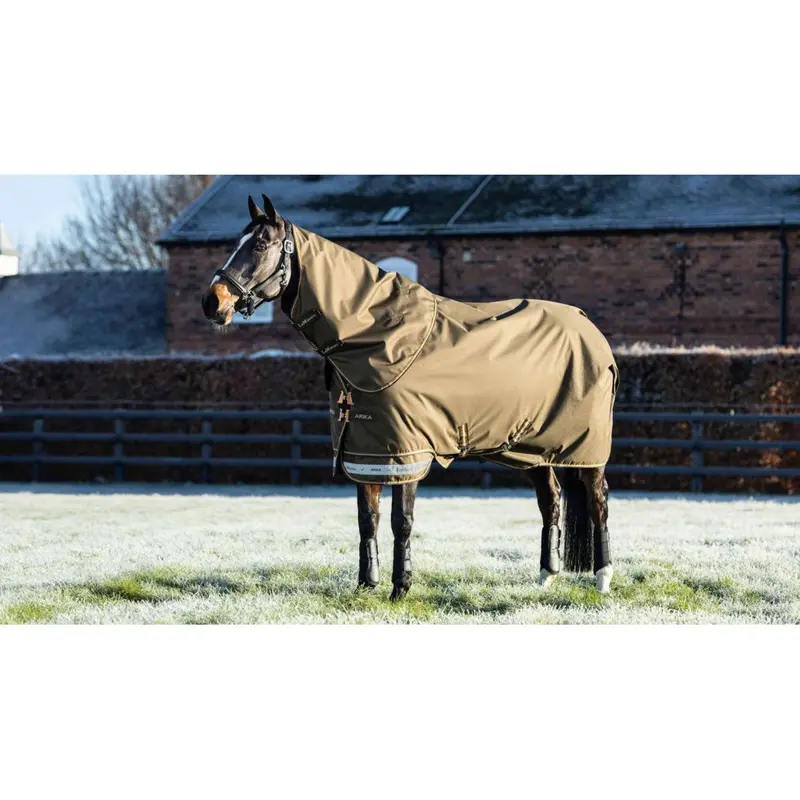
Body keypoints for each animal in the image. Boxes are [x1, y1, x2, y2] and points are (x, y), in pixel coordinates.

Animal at [201, 193, 617, 600]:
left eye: (259, 244)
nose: (212, 302)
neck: (374, 334)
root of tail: (589, 327)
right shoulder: (364, 451)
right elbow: (367, 520)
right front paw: (366, 584)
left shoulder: (407, 453)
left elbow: (402, 521)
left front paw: (400, 587)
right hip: (531, 447)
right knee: (551, 498)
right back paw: (547, 576)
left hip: (586, 448)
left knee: (597, 501)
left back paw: (602, 578)